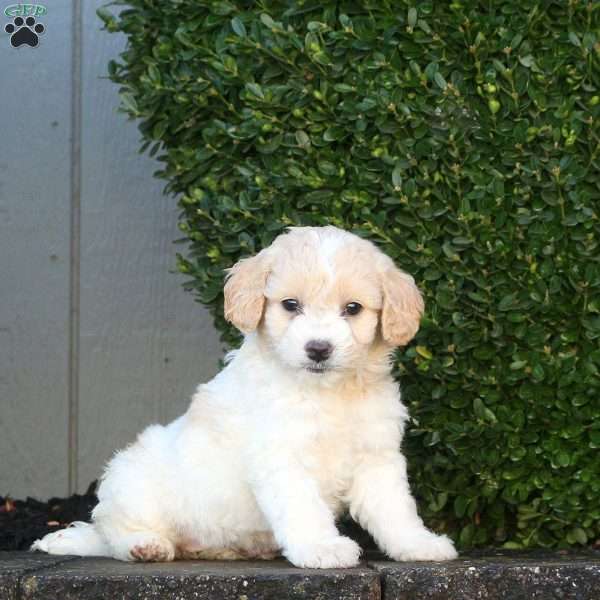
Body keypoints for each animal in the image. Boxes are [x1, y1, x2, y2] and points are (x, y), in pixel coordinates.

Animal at [31, 224, 454, 568]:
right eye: (290, 305)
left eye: (353, 308)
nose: (318, 349)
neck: (327, 392)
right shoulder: (282, 458)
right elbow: (303, 507)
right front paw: (322, 548)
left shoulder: (377, 458)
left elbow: (395, 509)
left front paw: (419, 545)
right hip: (130, 481)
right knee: (117, 531)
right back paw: (146, 545)